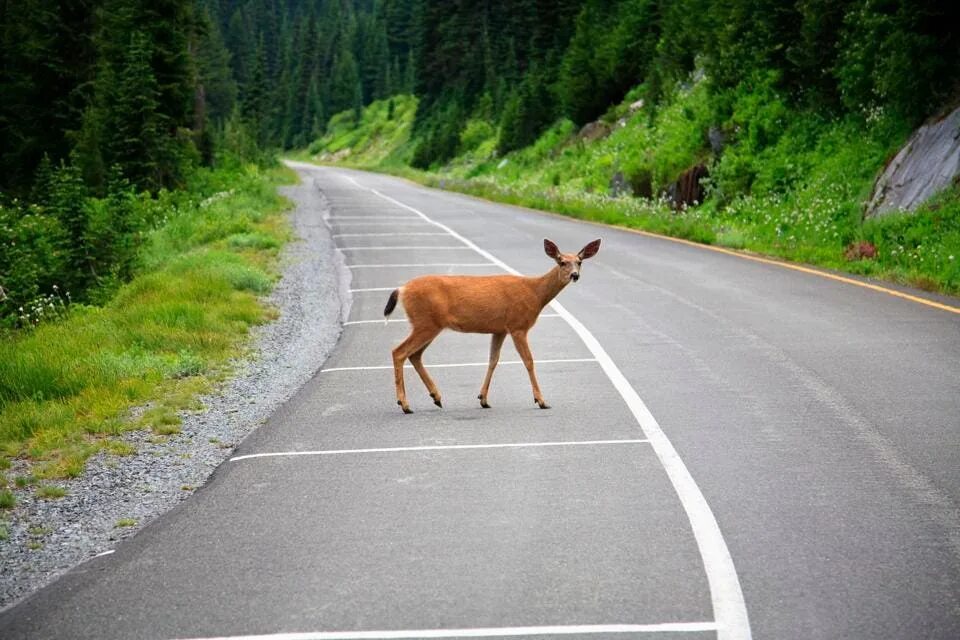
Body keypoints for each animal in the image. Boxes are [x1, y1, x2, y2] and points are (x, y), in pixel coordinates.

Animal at [384, 238, 600, 412]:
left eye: (579, 262)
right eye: (562, 262)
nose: (574, 275)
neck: (535, 294)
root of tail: (402, 289)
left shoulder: (499, 329)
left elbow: (493, 360)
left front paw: (483, 399)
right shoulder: (518, 325)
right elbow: (528, 361)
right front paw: (541, 400)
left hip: (430, 324)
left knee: (415, 355)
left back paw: (436, 397)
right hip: (425, 322)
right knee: (399, 351)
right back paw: (405, 404)